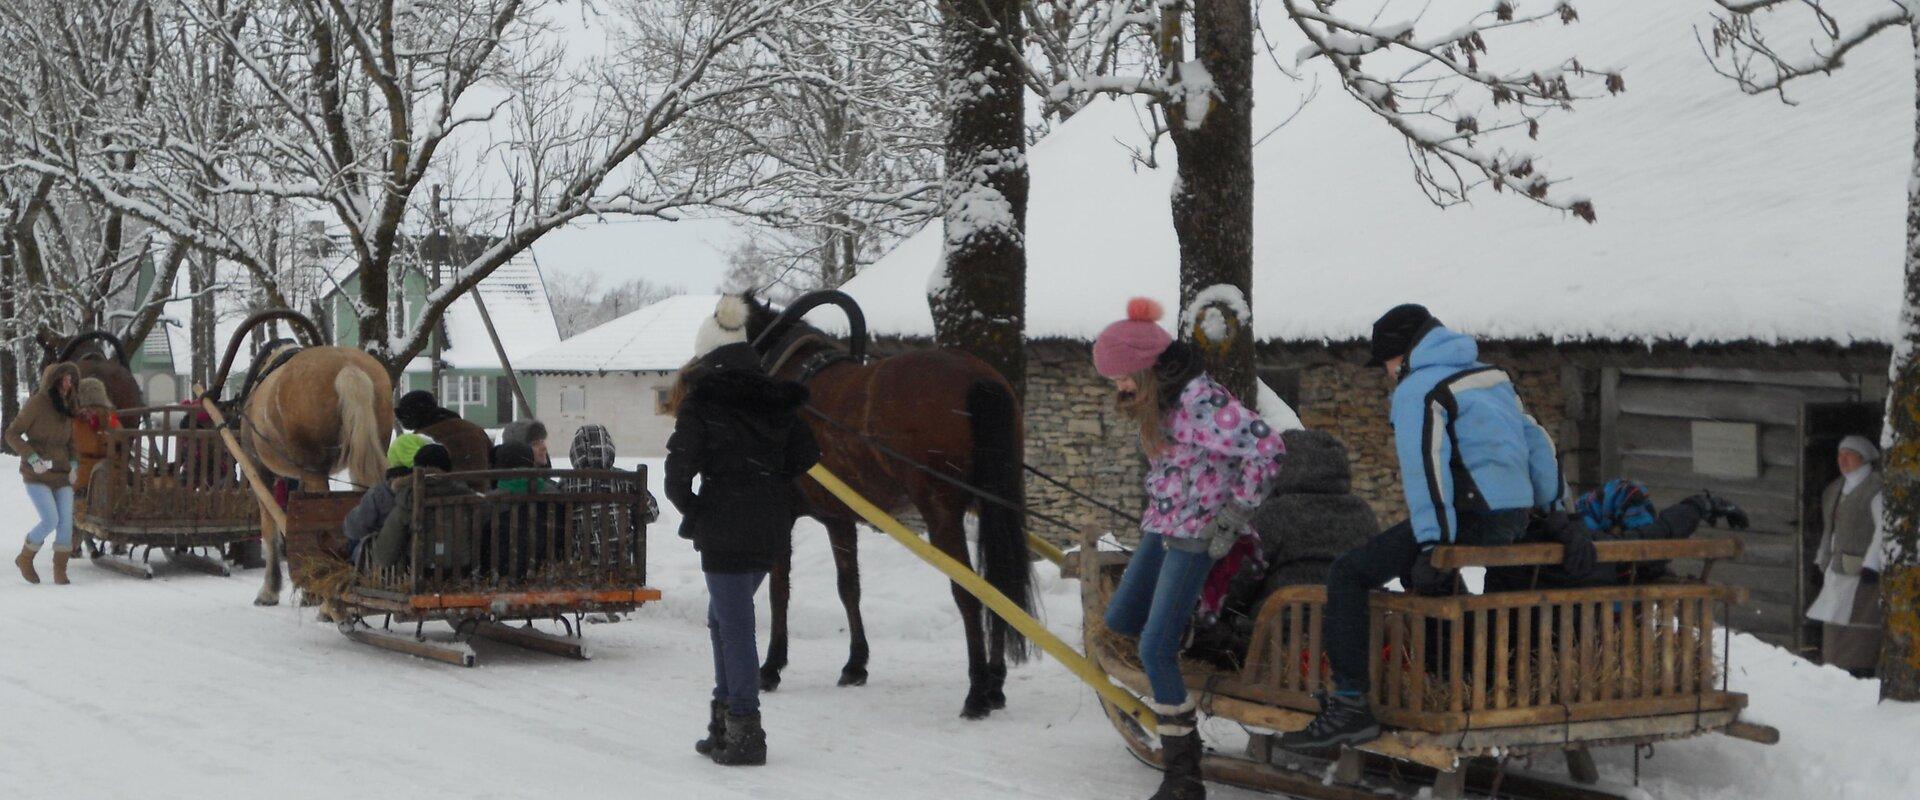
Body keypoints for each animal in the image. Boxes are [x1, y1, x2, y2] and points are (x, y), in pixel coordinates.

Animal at [737, 287, 1036, 717]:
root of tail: (979, 378)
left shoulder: (783, 512)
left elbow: (780, 589)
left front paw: (771, 665)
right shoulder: (838, 518)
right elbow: (849, 587)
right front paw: (855, 663)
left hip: (941, 513)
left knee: (969, 592)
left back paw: (977, 691)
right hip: (993, 506)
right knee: (997, 584)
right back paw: (994, 685)